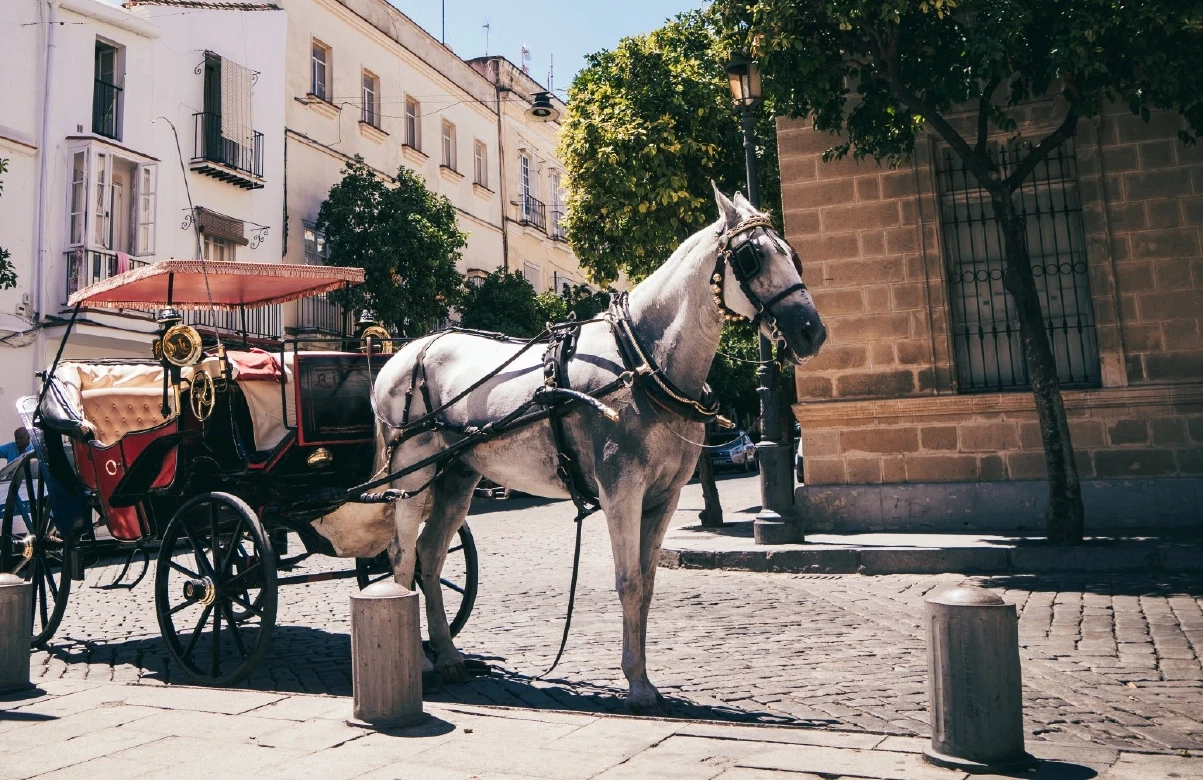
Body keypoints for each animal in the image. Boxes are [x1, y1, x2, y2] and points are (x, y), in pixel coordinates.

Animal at [371, 185, 825, 713]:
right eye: (752, 258)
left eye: (791, 254)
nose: (812, 331)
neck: (642, 360)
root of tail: (402, 353)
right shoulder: (621, 490)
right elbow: (628, 580)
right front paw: (637, 686)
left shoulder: (664, 497)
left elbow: (646, 583)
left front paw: (644, 677)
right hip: (411, 475)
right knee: (403, 555)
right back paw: (420, 661)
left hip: (457, 476)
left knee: (431, 556)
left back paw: (446, 655)